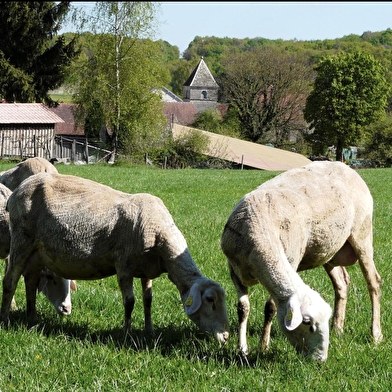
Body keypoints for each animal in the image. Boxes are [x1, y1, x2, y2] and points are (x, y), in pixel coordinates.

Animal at [222, 160, 382, 362]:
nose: (321, 360)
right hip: (329, 248)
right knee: (342, 283)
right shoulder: (234, 270)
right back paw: (338, 329)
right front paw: (242, 348)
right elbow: (243, 308)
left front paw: (264, 346)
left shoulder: (291, 260)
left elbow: (270, 308)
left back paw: (376, 334)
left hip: (362, 232)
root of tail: (345, 166)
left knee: (374, 282)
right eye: (308, 323)